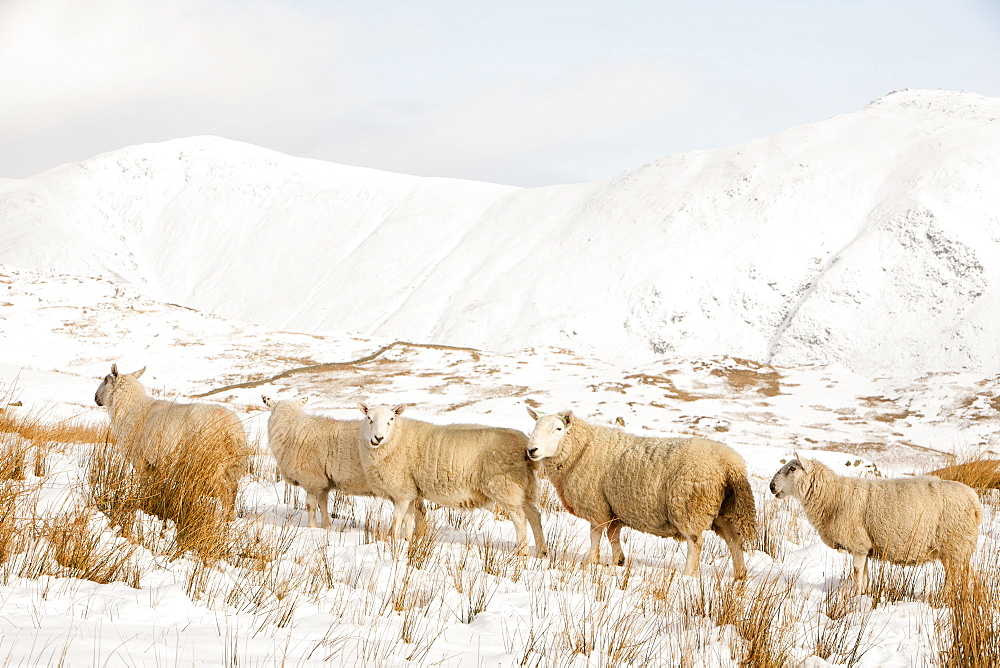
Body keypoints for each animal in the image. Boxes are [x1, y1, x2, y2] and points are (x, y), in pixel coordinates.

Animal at [94, 366, 250, 516]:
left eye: (105, 380)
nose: (95, 397)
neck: (130, 408)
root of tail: (232, 429)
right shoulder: (154, 465)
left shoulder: (141, 460)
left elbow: (144, 485)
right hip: (232, 465)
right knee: (233, 490)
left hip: (211, 463)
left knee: (224, 491)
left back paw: (223, 519)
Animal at [262, 396, 426, 532]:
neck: (290, 428)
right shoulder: (323, 482)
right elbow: (323, 505)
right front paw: (326, 526)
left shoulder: (312, 481)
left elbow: (311, 506)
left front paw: (311, 528)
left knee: (419, 513)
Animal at [358, 404, 548, 556]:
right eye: (369, 418)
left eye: (391, 419)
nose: (378, 438)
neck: (396, 438)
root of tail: (523, 443)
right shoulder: (410, 491)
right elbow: (408, 519)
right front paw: (409, 541)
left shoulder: (402, 491)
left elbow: (397, 519)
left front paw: (393, 543)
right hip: (524, 487)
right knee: (534, 515)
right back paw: (542, 551)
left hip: (505, 486)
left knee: (519, 518)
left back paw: (523, 552)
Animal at [524, 408, 756, 580]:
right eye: (535, 426)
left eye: (558, 428)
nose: (532, 450)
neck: (580, 449)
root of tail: (731, 464)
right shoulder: (614, 506)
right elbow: (613, 535)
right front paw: (618, 561)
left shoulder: (595, 504)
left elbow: (596, 534)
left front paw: (590, 561)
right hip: (724, 509)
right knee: (734, 540)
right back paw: (740, 575)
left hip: (690, 506)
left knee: (695, 542)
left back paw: (688, 574)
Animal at [768, 454, 980, 588]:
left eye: (792, 468)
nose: (771, 486)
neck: (833, 496)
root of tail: (976, 502)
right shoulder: (865, 547)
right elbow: (864, 574)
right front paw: (864, 595)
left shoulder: (858, 543)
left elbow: (856, 572)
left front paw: (854, 597)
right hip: (958, 550)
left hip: (955, 546)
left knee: (955, 579)